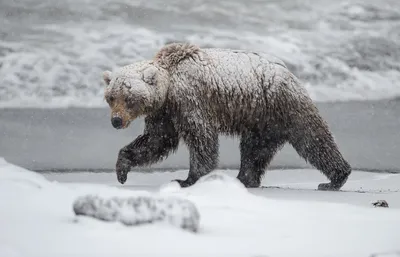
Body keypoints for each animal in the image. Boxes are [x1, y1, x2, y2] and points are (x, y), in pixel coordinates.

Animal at [104, 42, 354, 190]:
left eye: (128, 98)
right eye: (111, 97)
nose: (116, 121)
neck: (170, 85)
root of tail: (289, 71)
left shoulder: (191, 100)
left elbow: (201, 138)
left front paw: (188, 179)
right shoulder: (164, 112)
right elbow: (156, 140)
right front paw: (122, 169)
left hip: (282, 104)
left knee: (312, 139)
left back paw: (335, 178)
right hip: (261, 120)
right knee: (255, 149)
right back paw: (244, 179)